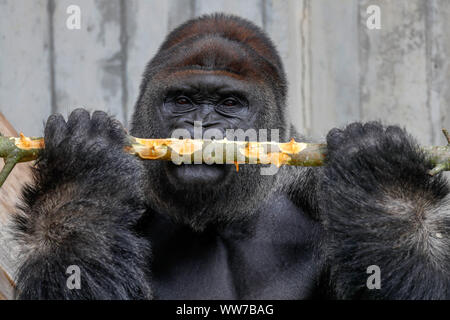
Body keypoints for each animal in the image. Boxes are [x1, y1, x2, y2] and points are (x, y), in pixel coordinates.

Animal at [10, 13, 450, 298]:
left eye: (230, 104)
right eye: (182, 101)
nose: (201, 127)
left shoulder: (313, 186)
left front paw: (386, 186)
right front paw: (79, 173)